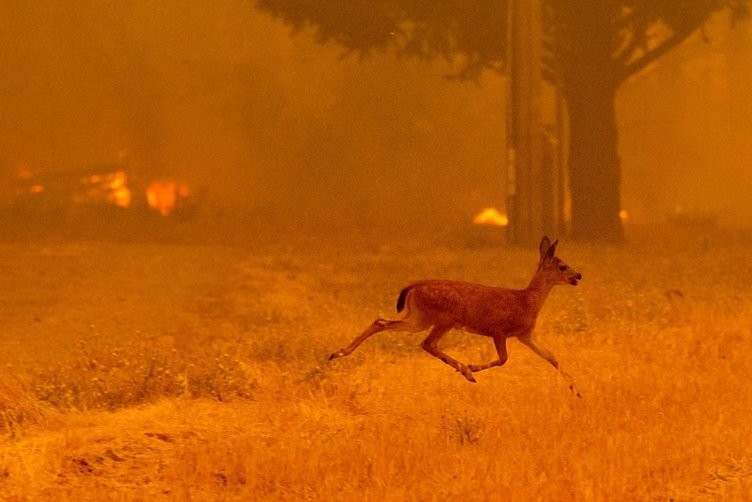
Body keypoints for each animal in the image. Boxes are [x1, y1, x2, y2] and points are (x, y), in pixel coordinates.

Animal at [328, 235, 580, 396]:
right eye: (562, 266)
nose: (579, 275)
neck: (527, 301)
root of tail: (413, 286)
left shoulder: (525, 334)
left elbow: (551, 357)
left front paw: (576, 390)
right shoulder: (498, 329)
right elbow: (503, 359)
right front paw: (472, 367)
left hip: (418, 317)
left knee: (382, 321)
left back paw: (338, 353)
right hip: (443, 318)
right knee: (427, 343)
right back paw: (465, 371)